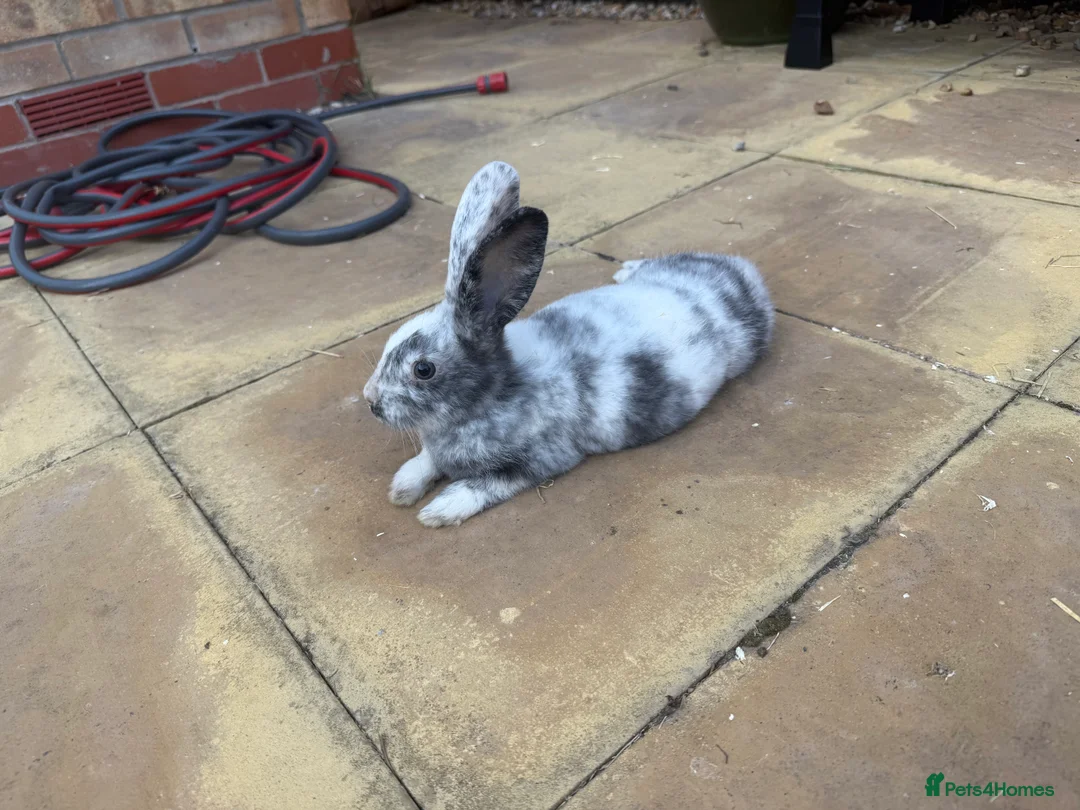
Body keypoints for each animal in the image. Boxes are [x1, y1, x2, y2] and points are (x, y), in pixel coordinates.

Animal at [362, 161, 774, 527]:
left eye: (423, 369)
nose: (370, 401)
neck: (496, 395)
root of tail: (741, 271)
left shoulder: (540, 460)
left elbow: (483, 486)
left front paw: (436, 513)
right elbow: (426, 461)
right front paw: (402, 489)